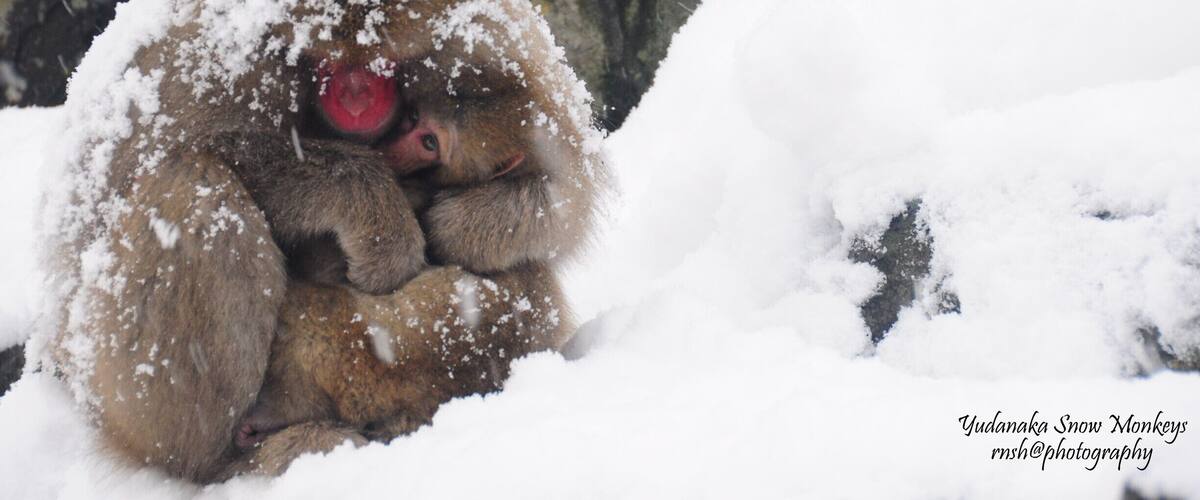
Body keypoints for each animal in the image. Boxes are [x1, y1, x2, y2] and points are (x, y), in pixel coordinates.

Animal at [42, 0, 604, 484]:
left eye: (379, 64)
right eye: (329, 63)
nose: (357, 96)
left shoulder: (488, 36)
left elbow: (564, 184)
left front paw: (464, 224)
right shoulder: (215, 62)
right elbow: (164, 158)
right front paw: (374, 210)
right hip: (120, 389)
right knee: (190, 184)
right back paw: (223, 461)